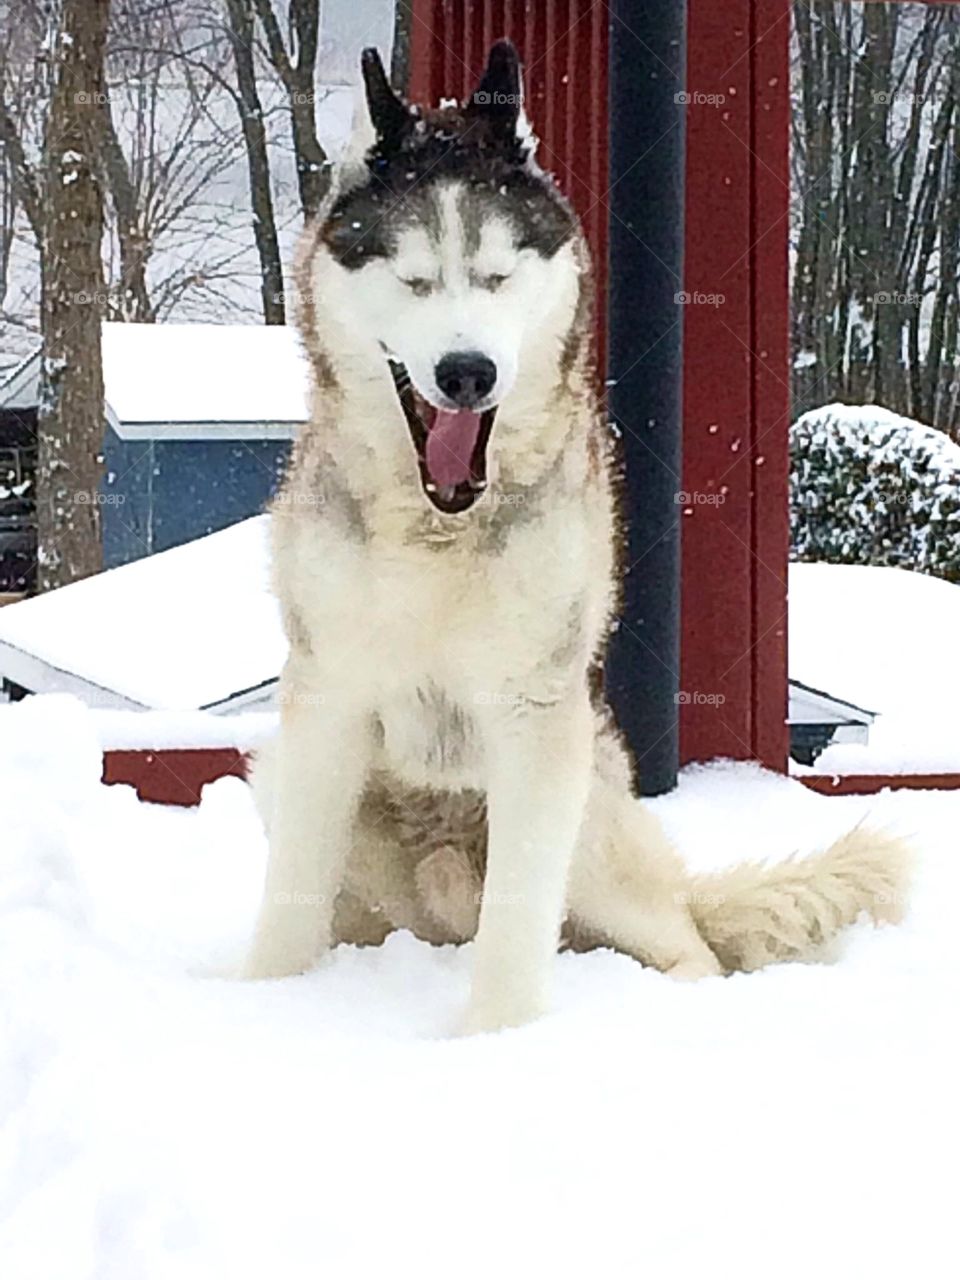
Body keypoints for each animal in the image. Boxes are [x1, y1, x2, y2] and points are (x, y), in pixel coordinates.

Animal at [244, 45, 911, 1034]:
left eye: (496, 277)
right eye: (411, 279)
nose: (467, 372)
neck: (440, 524)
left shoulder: (536, 717)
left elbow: (518, 922)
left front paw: (494, 1040)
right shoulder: (327, 702)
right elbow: (290, 901)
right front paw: (260, 1006)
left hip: (591, 810)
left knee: (683, 943)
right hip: (282, 778)